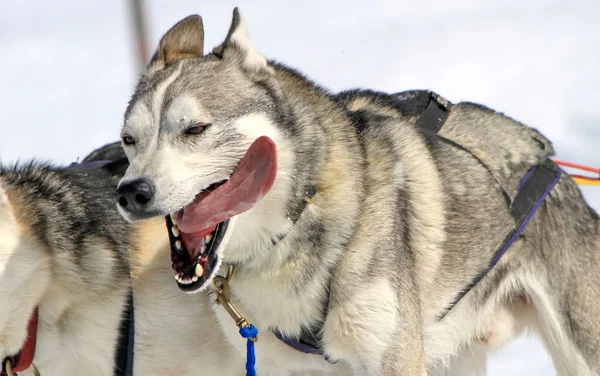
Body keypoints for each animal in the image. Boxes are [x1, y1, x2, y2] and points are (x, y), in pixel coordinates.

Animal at [117, 8, 600, 376]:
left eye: (196, 129)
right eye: (129, 140)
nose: (131, 192)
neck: (300, 218)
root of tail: (547, 156)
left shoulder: (394, 361)